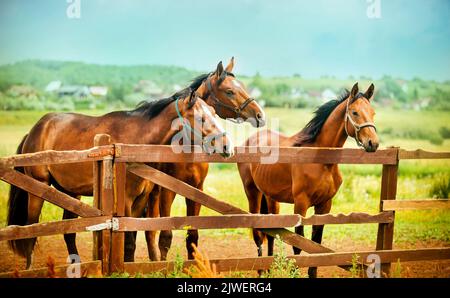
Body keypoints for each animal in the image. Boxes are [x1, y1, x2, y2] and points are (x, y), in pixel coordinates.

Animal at [7, 89, 232, 268]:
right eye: (201, 118)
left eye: (214, 113)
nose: (226, 146)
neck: (136, 141)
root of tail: (36, 129)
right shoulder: (126, 199)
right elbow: (129, 239)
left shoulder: (141, 200)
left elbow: (133, 234)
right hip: (38, 189)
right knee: (31, 229)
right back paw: (29, 267)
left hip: (71, 194)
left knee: (68, 233)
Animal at [142, 57, 266, 260]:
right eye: (229, 91)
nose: (260, 116)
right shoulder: (167, 191)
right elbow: (165, 236)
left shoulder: (196, 190)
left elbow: (192, 236)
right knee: (149, 231)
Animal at [237, 82, 378, 278]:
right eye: (355, 112)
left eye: (372, 112)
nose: (373, 143)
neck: (321, 160)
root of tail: (250, 140)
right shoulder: (301, 205)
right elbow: (299, 243)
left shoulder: (324, 205)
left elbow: (316, 243)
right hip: (252, 193)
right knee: (258, 234)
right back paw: (261, 272)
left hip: (271, 198)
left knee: (271, 231)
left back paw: (270, 268)